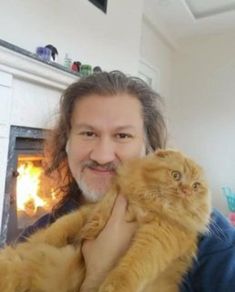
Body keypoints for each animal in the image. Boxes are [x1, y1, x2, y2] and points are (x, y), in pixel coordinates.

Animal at [0, 149, 211, 292]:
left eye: (196, 186)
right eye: (176, 175)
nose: (186, 191)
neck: (147, 203)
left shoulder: (159, 237)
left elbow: (132, 266)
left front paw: (113, 286)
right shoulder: (94, 210)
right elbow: (62, 225)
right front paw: (37, 240)